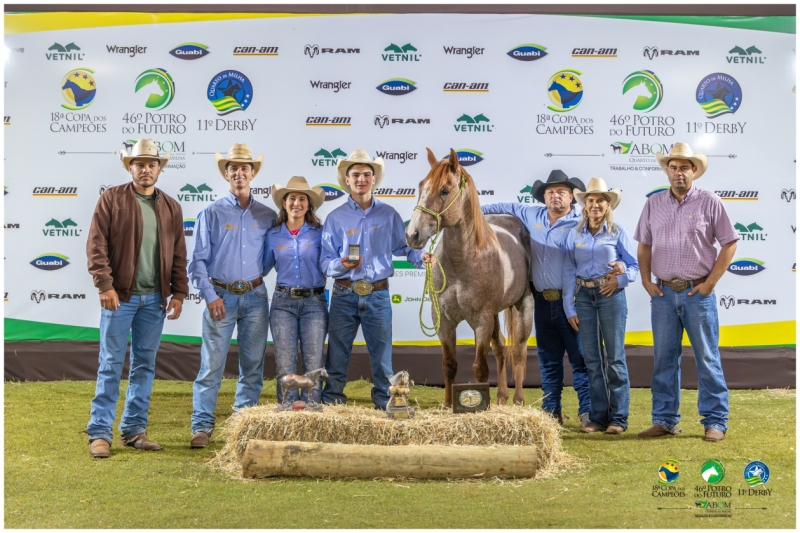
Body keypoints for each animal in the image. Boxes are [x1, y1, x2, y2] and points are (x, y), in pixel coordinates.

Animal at [405, 148, 534, 406]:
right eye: (421, 186)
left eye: (445, 190)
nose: (413, 234)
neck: (462, 262)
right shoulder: (443, 321)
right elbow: (449, 365)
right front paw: (447, 404)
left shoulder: (481, 321)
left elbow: (480, 368)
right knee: (501, 349)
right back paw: (502, 397)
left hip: (522, 306)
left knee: (518, 351)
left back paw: (517, 400)